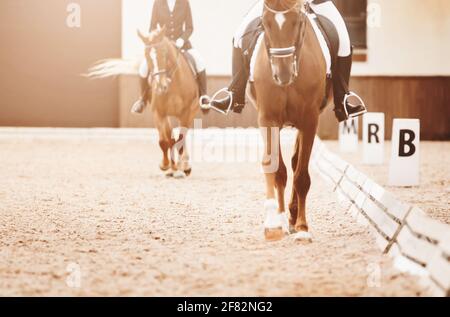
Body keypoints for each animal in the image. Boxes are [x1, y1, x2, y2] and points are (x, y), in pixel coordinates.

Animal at [87, 27, 199, 178]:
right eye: (147, 55)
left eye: (164, 53)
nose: (160, 86)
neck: (172, 84)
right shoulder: (158, 113)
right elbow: (164, 141)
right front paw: (165, 165)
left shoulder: (186, 113)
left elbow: (181, 138)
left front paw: (185, 167)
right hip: (167, 116)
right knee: (170, 139)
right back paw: (173, 168)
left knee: (181, 138)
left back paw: (183, 166)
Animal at [250, 0, 330, 241]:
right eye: (264, 23)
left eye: (297, 22)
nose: (283, 74)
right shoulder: (267, 119)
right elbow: (276, 170)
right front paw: (275, 223)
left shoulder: (309, 121)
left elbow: (301, 176)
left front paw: (302, 228)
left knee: (297, 165)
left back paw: (295, 218)